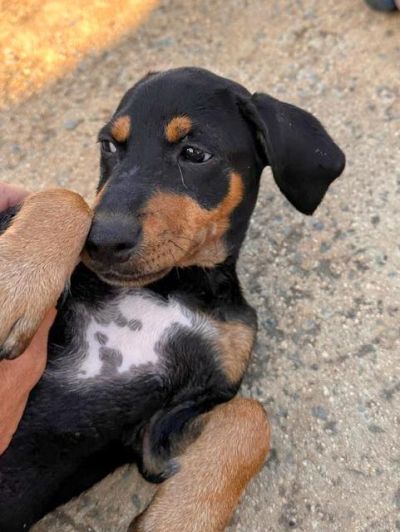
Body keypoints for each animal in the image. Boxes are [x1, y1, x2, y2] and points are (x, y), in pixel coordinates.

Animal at [0, 67, 345, 531]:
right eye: (110, 145)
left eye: (195, 154)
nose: (102, 242)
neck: (175, 283)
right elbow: (68, 197)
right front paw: (12, 286)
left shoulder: (163, 424)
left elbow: (251, 416)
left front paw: (177, 519)